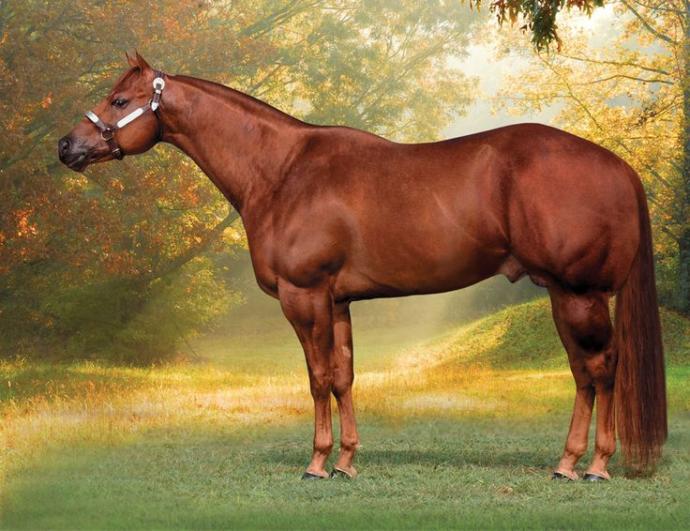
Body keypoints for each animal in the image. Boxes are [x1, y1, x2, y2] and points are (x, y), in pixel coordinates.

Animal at [59, 53, 666, 481]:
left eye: (118, 99)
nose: (67, 146)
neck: (282, 171)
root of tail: (616, 164)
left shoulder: (303, 296)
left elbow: (317, 378)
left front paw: (317, 463)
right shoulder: (338, 301)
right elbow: (344, 377)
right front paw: (348, 462)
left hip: (580, 293)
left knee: (601, 370)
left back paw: (594, 467)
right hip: (564, 296)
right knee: (584, 374)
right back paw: (567, 463)